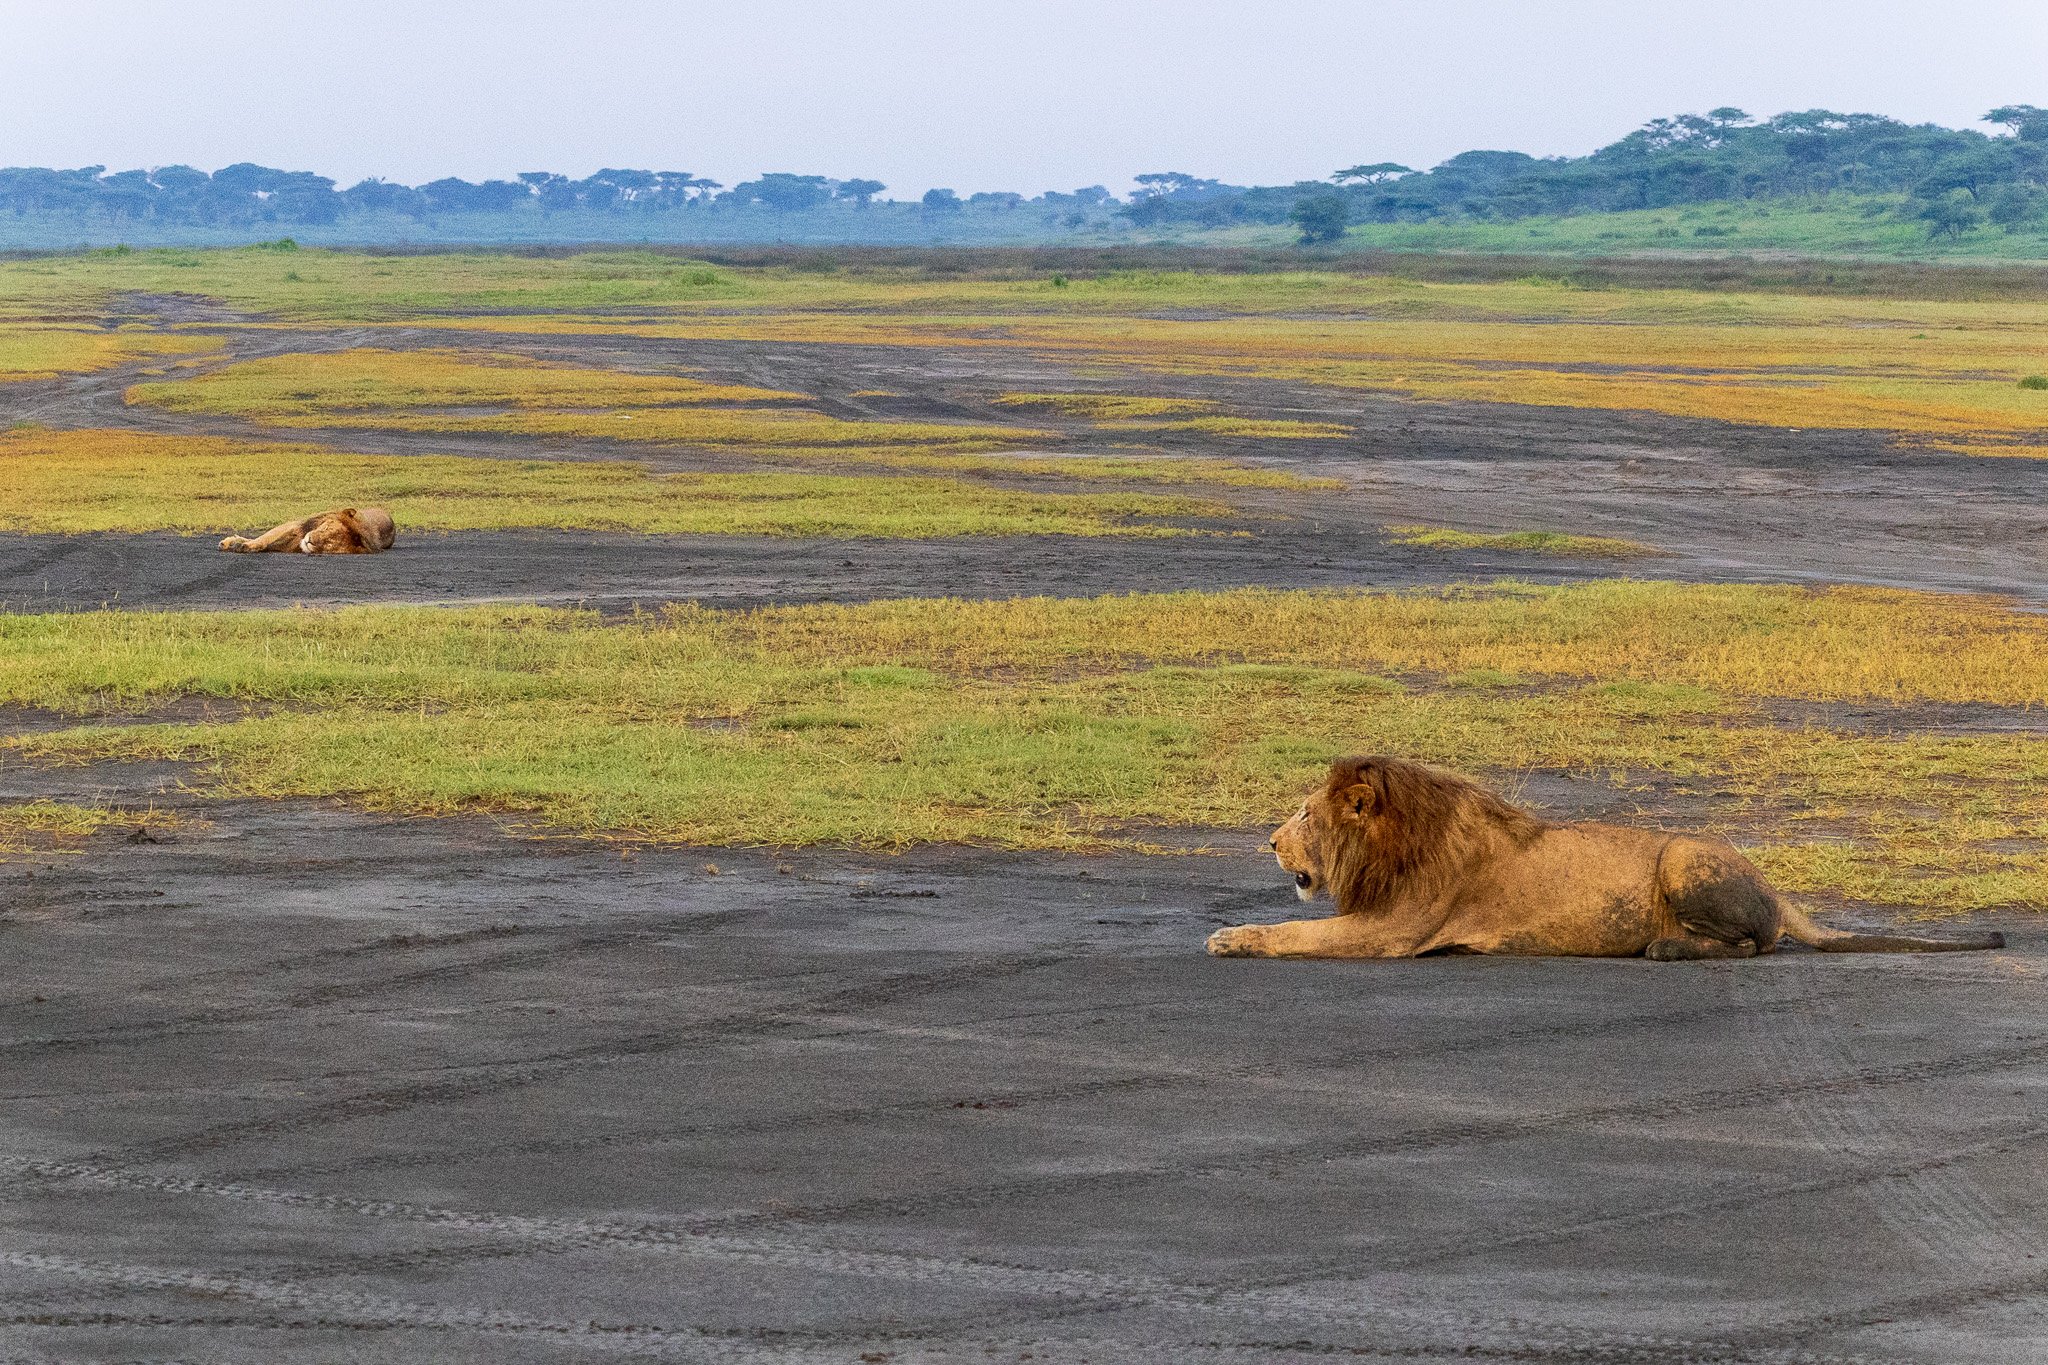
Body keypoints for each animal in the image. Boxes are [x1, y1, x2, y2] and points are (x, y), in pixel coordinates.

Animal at [218, 507, 397, 556]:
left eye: (330, 543)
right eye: (327, 528)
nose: (310, 540)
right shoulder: (294, 526)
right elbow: (264, 538)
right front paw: (240, 544)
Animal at [1204, 757, 2007, 961]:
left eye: (1304, 814)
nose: (1269, 842)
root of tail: (1776, 885)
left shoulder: (1393, 930)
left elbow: (1296, 931)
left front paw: (1228, 937)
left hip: (1684, 856)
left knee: (1756, 943)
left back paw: (1664, 948)